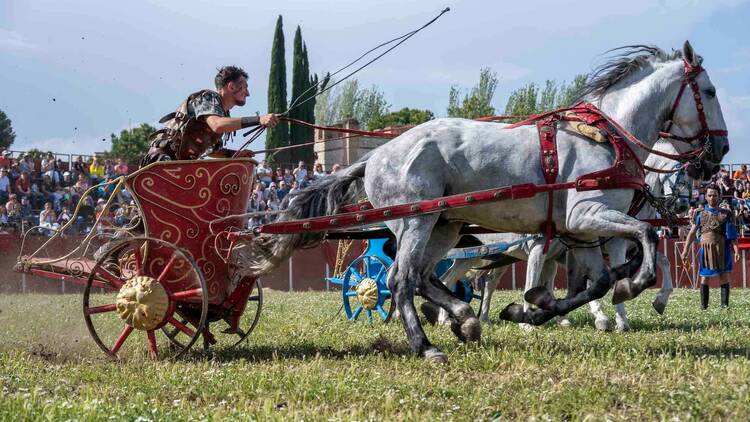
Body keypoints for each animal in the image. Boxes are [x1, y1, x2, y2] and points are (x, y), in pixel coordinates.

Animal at [239, 41, 728, 362]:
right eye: (709, 92)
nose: (719, 153)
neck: (605, 137)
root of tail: (376, 155)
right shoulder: (587, 215)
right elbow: (642, 239)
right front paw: (631, 287)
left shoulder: (580, 235)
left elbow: (597, 282)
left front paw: (534, 307)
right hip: (416, 222)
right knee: (400, 279)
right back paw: (427, 344)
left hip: (446, 226)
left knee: (426, 276)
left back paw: (464, 317)